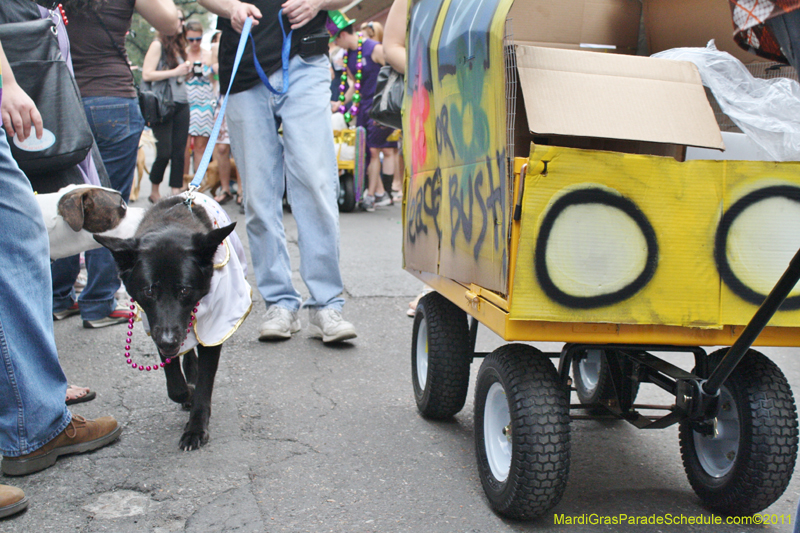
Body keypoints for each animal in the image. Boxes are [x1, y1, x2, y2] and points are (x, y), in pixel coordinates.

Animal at [95, 195, 234, 448]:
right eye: (149, 291)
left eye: (184, 290)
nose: (169, 341)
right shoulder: (155, 325)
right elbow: (175, 385)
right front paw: (187, 392)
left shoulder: (214, 327)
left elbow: (204, 383)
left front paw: (196, 427)